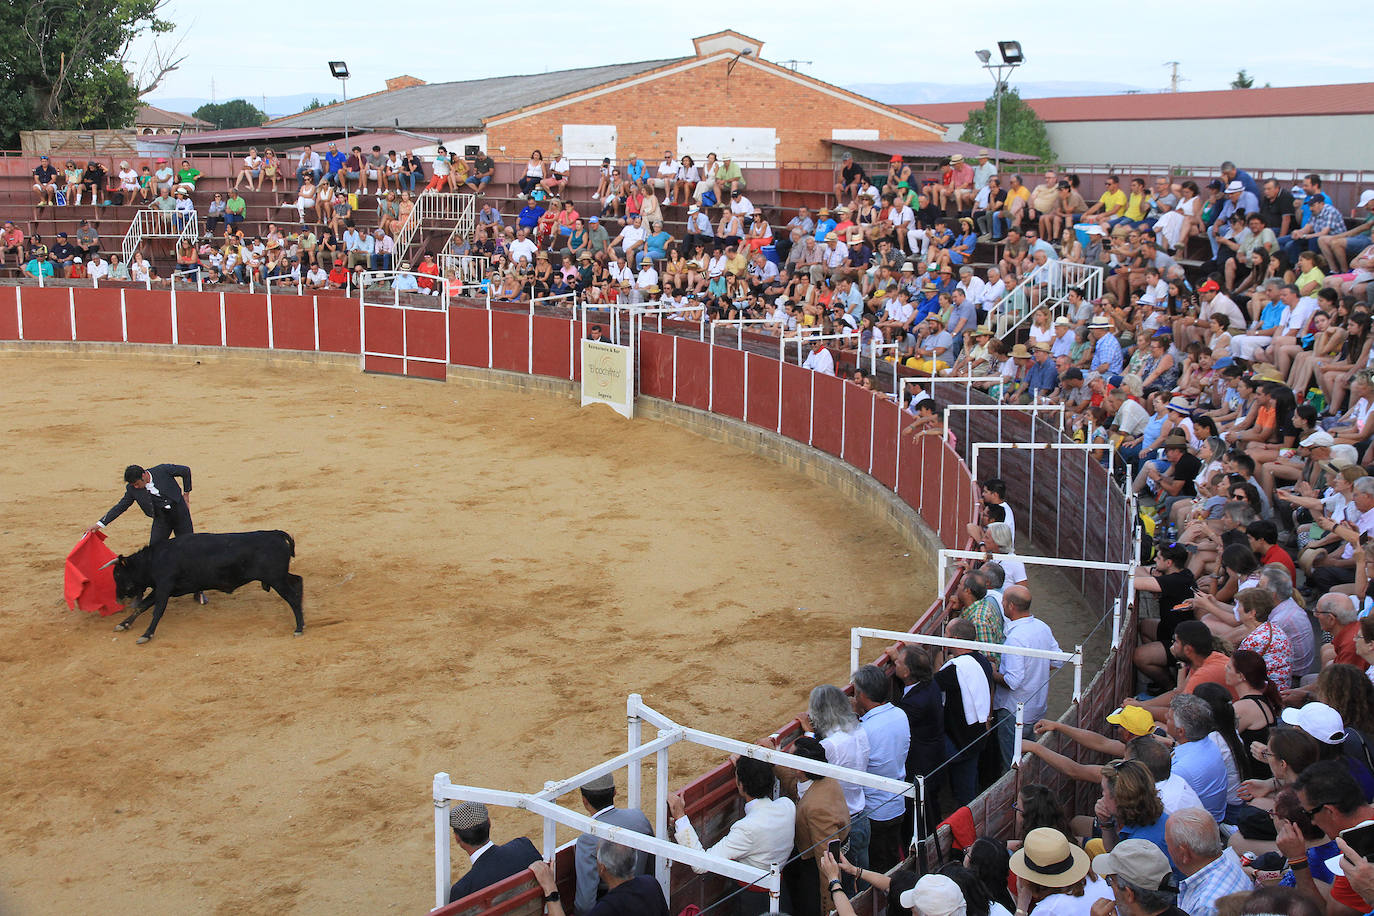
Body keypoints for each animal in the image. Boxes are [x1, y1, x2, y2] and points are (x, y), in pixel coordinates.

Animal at [108, 530, 305, 645]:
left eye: (117, 574)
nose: (117, 597)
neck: (154, 559)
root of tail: (275, 534)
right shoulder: (160, 589)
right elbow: (142, 607)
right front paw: (123, 624)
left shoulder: (164, 587)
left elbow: (157, 610)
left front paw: (147, 634)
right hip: (279, 577)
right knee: (298, 581)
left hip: (276, 579)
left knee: (292, 598)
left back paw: (299, 628)